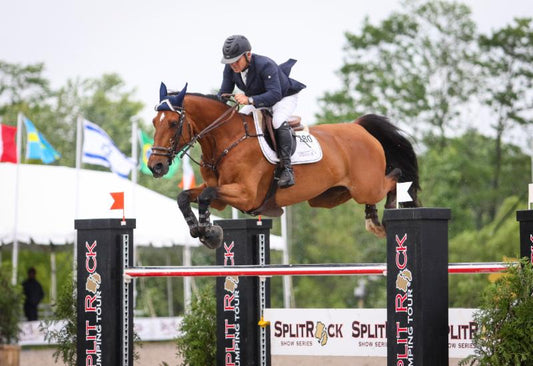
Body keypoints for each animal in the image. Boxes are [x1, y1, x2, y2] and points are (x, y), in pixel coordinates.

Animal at [147, 82, 420, 249]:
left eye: (173, 123)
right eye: (154, 121)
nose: (155, 166)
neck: (225, 140)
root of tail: (359, 128)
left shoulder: (246, 195)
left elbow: (205, 195)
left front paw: (210, 233)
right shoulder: (222, 199)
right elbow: (185, 196)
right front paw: (199, 229)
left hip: (366, 186)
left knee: (394, 178)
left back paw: (382, 217)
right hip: (330, 196)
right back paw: (372, 216)